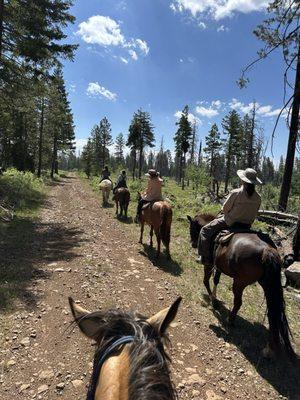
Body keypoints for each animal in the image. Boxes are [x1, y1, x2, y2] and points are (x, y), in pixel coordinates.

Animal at [188, 214, 296, 358]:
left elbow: (206, 281)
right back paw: (269, 349)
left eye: (191, 228)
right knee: (272, 312)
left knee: (238, 302)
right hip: (267, 284)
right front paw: (215, 299)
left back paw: (230, 320)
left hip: (239, 282)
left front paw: (213, 301)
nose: (193, 244)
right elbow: (216, 280)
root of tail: (266, 249)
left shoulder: (209, 264)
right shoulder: (219, 267)